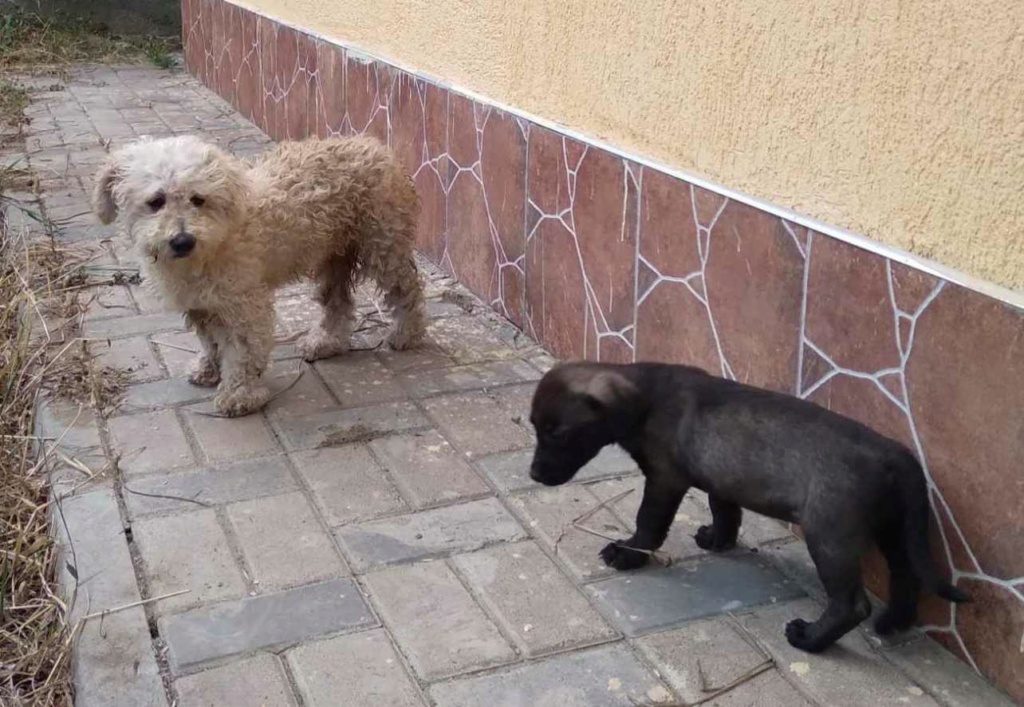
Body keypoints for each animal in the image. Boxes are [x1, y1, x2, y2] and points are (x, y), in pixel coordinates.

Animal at [528, 360, 966, 651]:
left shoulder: (665, 479)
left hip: (830, 534)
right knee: (906, 575)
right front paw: (717, 540)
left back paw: (810, 638)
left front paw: (627, 553)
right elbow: (725, 511)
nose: (533, 474)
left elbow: (648, 523)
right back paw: (894, 622)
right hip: (895, 527)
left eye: (559, 433)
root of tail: (897, 456)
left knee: (852, 603)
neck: (645, 397)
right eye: (534, 427)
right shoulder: (720, 478)